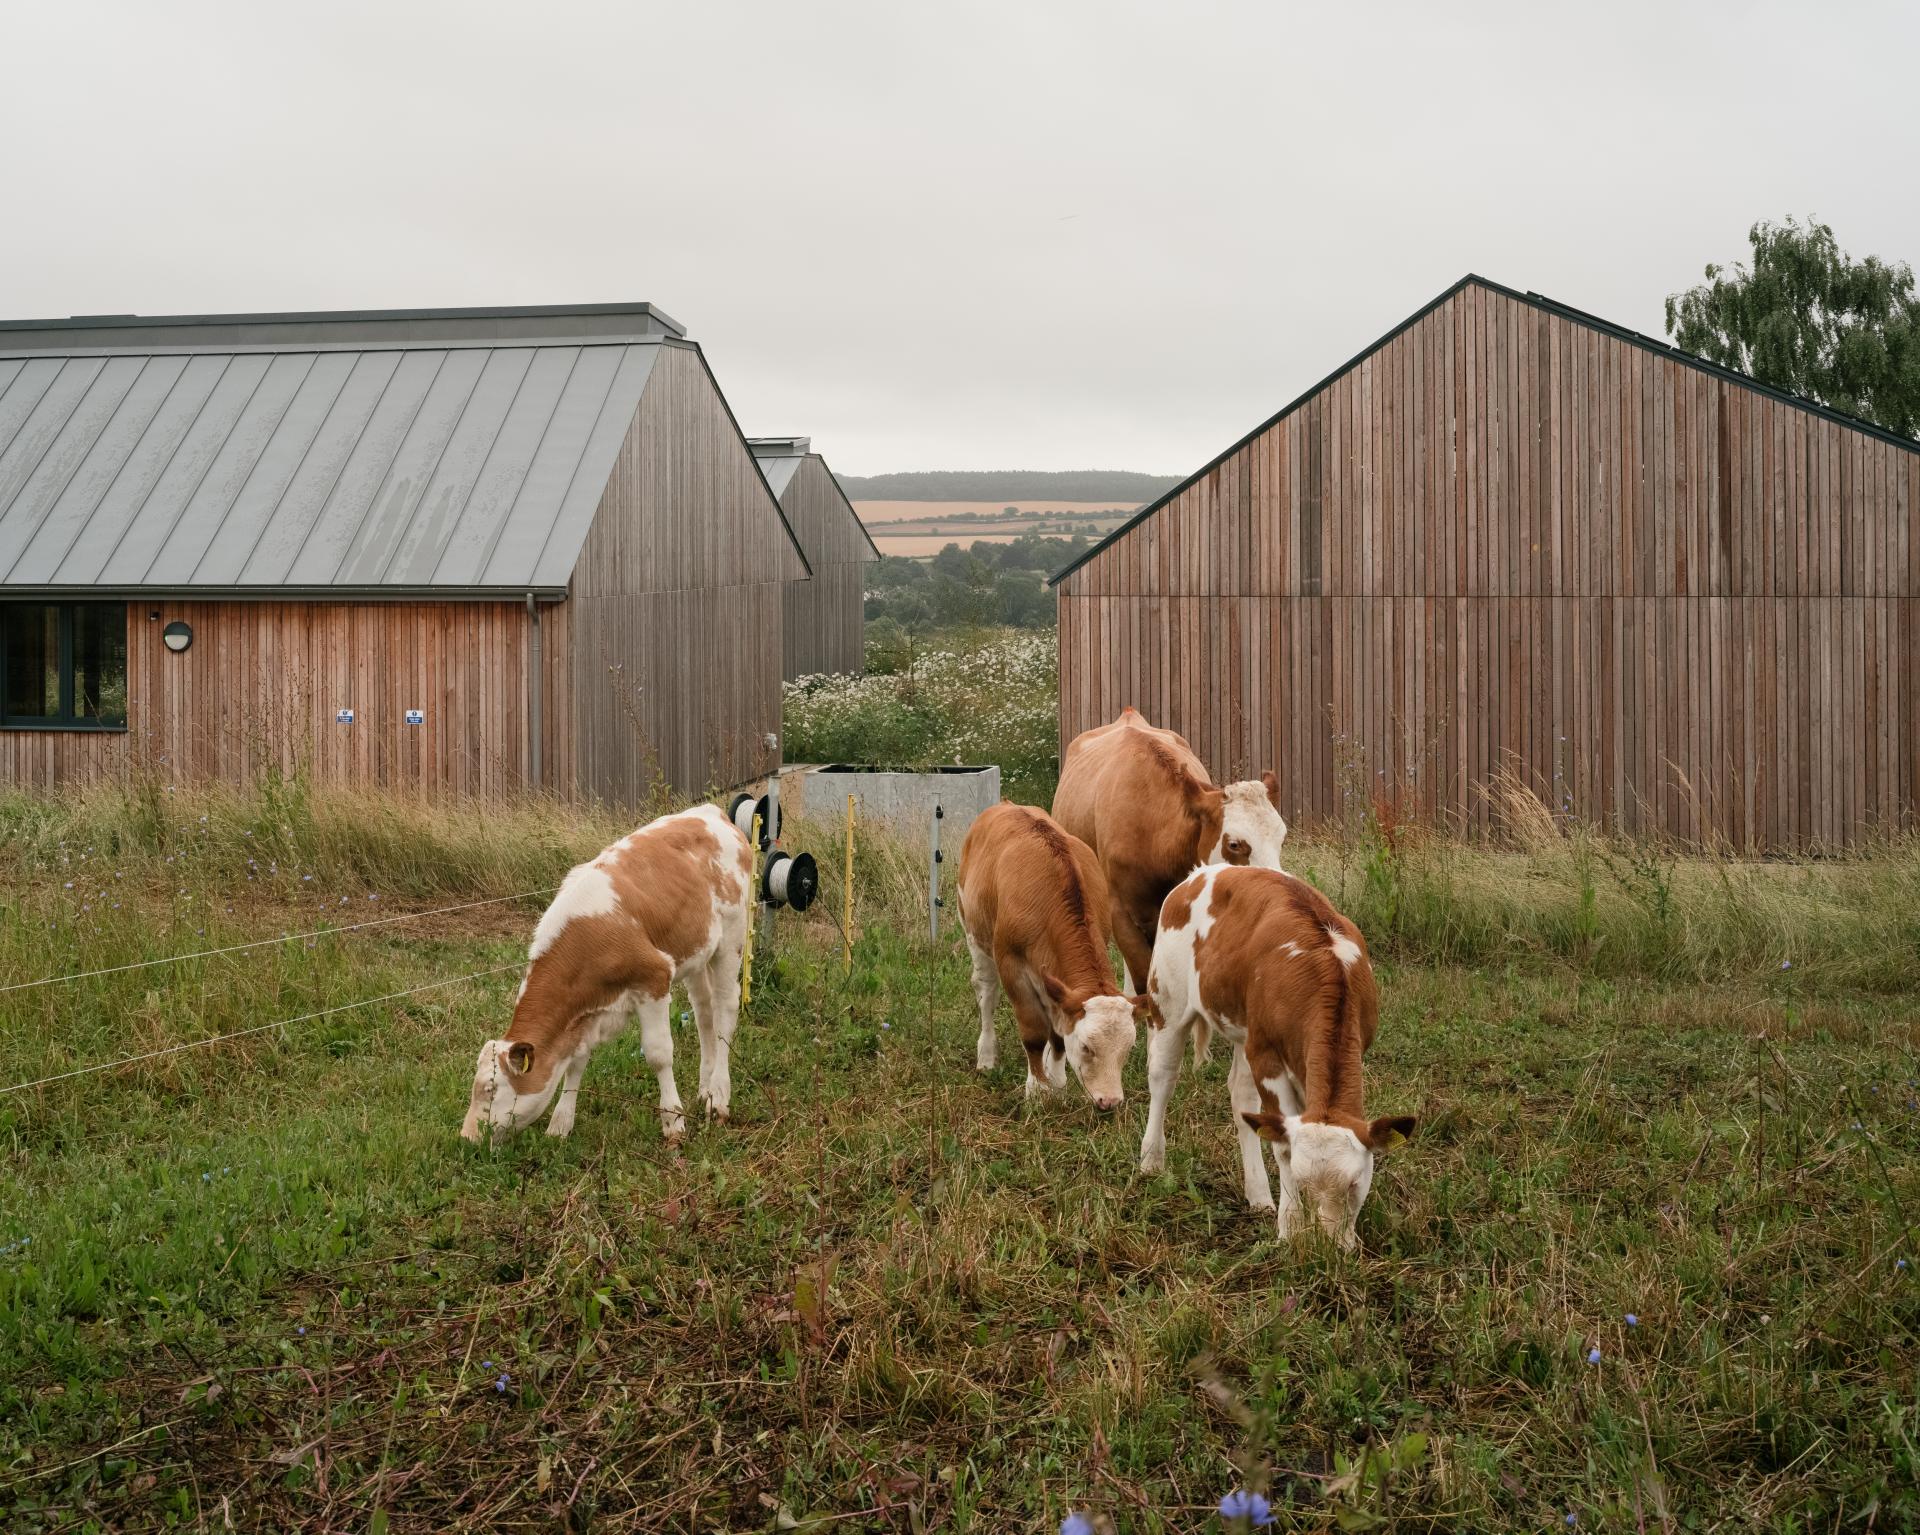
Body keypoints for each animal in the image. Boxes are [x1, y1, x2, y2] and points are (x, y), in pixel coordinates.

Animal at [461, 803, 754, 1145]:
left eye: (491, 1089)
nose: (466, 1137)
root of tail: (709, 811)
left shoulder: (654, 980)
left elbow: (659, 1055)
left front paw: (673, 1122)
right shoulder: (584, 1014)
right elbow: (576, 1061)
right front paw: (560, 1125)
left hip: (732, 937)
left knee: (725, 1010)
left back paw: (718, 1098)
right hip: (696, 952)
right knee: (704, 1013)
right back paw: (705, 1090)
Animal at [956, 801, 1149, 1110]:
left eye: (1128, 1048)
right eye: (1086, 1047)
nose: (1110, 1101)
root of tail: (1006, 804)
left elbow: (1057, 1033)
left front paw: (1056, 1083)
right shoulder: (1012, 967)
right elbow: (1034, 1033)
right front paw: (1037, 1089)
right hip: (972, 930)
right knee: (986, 993)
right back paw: (986, 1056)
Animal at [1137, 865, 1415, 1250]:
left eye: (1355, 1185)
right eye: (1300, 1183)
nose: (1329, 1249)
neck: (1326, 968)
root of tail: (1205, 872)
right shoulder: (1266, 1055)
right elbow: (1282, 1146)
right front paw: (1290, 1228)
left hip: (1243, 1029)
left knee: (1241, 1097)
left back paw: (1258, 1195)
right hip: (1167, 1001)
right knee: (1162, 1077)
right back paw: (1151, 1161)